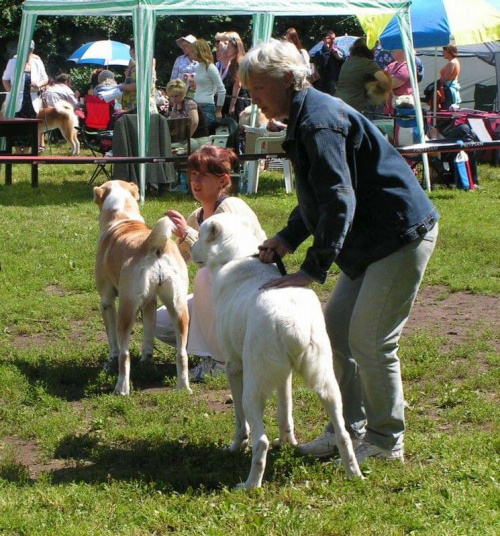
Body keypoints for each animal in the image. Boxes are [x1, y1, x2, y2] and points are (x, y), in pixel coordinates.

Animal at [93, 182, 190, 396]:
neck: (123, 219)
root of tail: (153, 243)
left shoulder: (107, 301)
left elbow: (112, 343)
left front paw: (109, 363)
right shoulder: (150, 303)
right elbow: (147, 339)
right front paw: (147, 363)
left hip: (126, 310)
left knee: (124, 354)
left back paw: (121, 389)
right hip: (179, 308)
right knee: (182, 353)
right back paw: (183, 388)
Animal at [189, 215, 362, 490]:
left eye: (200, 235)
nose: (191, 249)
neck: (240, 255)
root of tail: (292, 322)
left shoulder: (233, 367)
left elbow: (240, 423)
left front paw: (235, 447)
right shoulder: (285, 375)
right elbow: (284, 413)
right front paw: (287, 442)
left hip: (252, 389)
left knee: (260, 441)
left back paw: (250, 485)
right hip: (327, 384)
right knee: (343, 434)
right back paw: (354, 474)